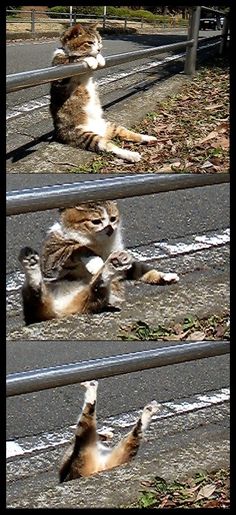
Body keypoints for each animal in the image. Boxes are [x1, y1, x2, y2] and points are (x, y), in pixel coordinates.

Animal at [18, 200, 179, 324]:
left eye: (113, 219)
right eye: (96, 221)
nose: (110, 229)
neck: (99, 244)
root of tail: (58, 311)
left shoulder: (129, 265)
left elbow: (143, 269)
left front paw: (165, 276)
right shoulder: (51, 257)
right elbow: (78, 247)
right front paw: (94, 261)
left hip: (96, 299)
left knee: (96, 285)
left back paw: (114, 263)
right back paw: (29, 261)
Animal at [49, 22, 157, 161]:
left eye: (99, 41)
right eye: (90, 42)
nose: (99, 49)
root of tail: (101, 132)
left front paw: (99, 58)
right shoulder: (60, 75)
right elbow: (73, 58)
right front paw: (88, 58)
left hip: (111, 126)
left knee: (126, 133)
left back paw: (147, 137)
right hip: (86, 136)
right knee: (110, 147)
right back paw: (131, 154)